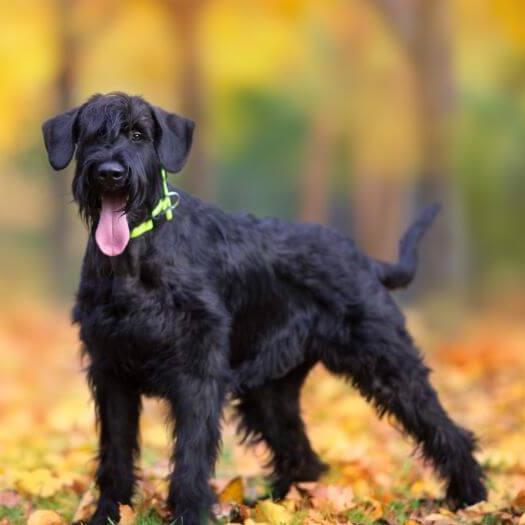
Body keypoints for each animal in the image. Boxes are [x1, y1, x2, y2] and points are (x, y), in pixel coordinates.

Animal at [43, 94, 486, 524]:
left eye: (138, 134)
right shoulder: (111, 372)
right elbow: (115, 454)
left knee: (445, 429)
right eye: (91, 135)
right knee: (301, 455)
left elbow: (190, 456)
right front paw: (107, 514)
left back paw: (471, 499)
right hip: (269, 392)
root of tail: (365, 260)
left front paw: (189, 515)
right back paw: (278, 506)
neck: (135, 258)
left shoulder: (197, 375)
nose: (110, 174)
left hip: (388, 363)